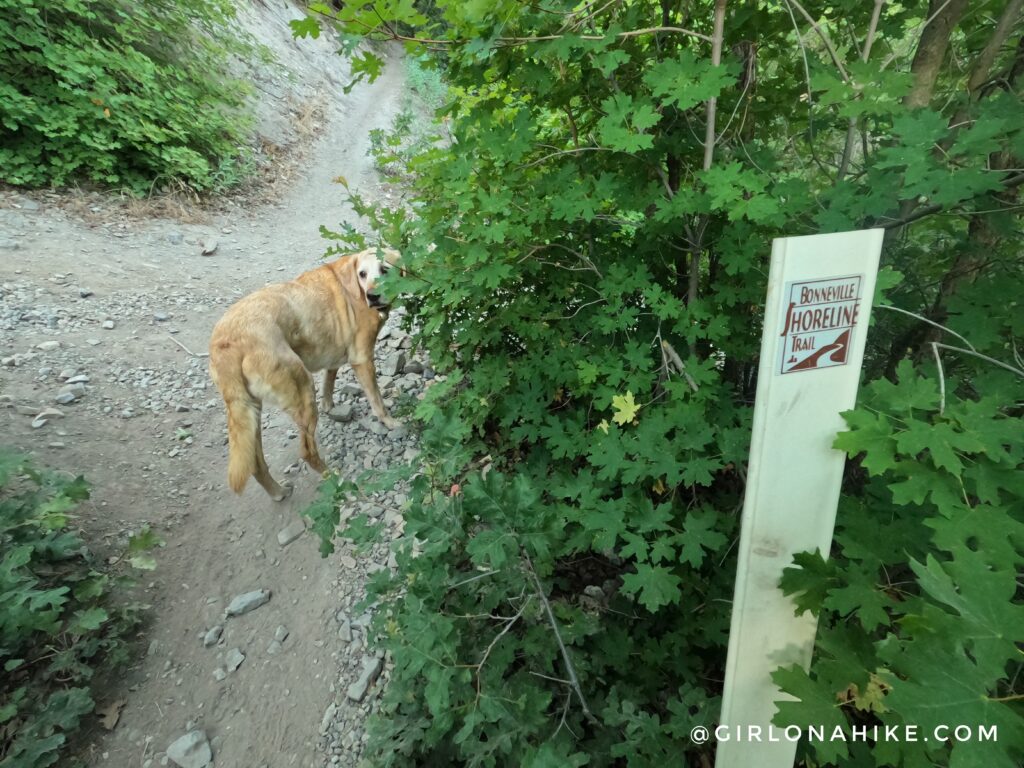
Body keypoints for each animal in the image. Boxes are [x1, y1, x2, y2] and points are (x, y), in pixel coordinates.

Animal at [207, 246, 399, 499]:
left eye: (385, 269)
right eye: (363, 274)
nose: (373, 297)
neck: (352, 284)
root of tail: (228, 343)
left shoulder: (335, 352)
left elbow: (330, 380)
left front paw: (330, 405)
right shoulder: (363, 359)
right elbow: (377, 402)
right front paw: (391, 423)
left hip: (250, 413)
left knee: (256, 465)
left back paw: (277, 492)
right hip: (303, 391)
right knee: (307, 452)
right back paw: (336, 480)